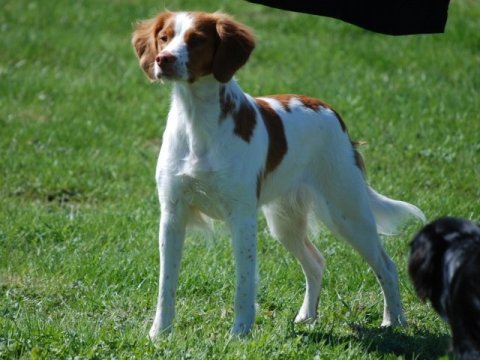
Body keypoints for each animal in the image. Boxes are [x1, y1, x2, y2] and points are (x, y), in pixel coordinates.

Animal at [130, 11, 424, 338]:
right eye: (164, 37)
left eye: (197, 40)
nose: (163, 59)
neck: (198, 121)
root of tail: (330, 111)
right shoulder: (172, 214)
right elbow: (166, 284)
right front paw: (159, 333)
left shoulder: (242, 216)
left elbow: (244, 282)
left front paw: (240, 333)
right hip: (285, 221)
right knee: (316, 262)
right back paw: (307, 316)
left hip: (347, 212)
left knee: (386, 265)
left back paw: (394, 320)